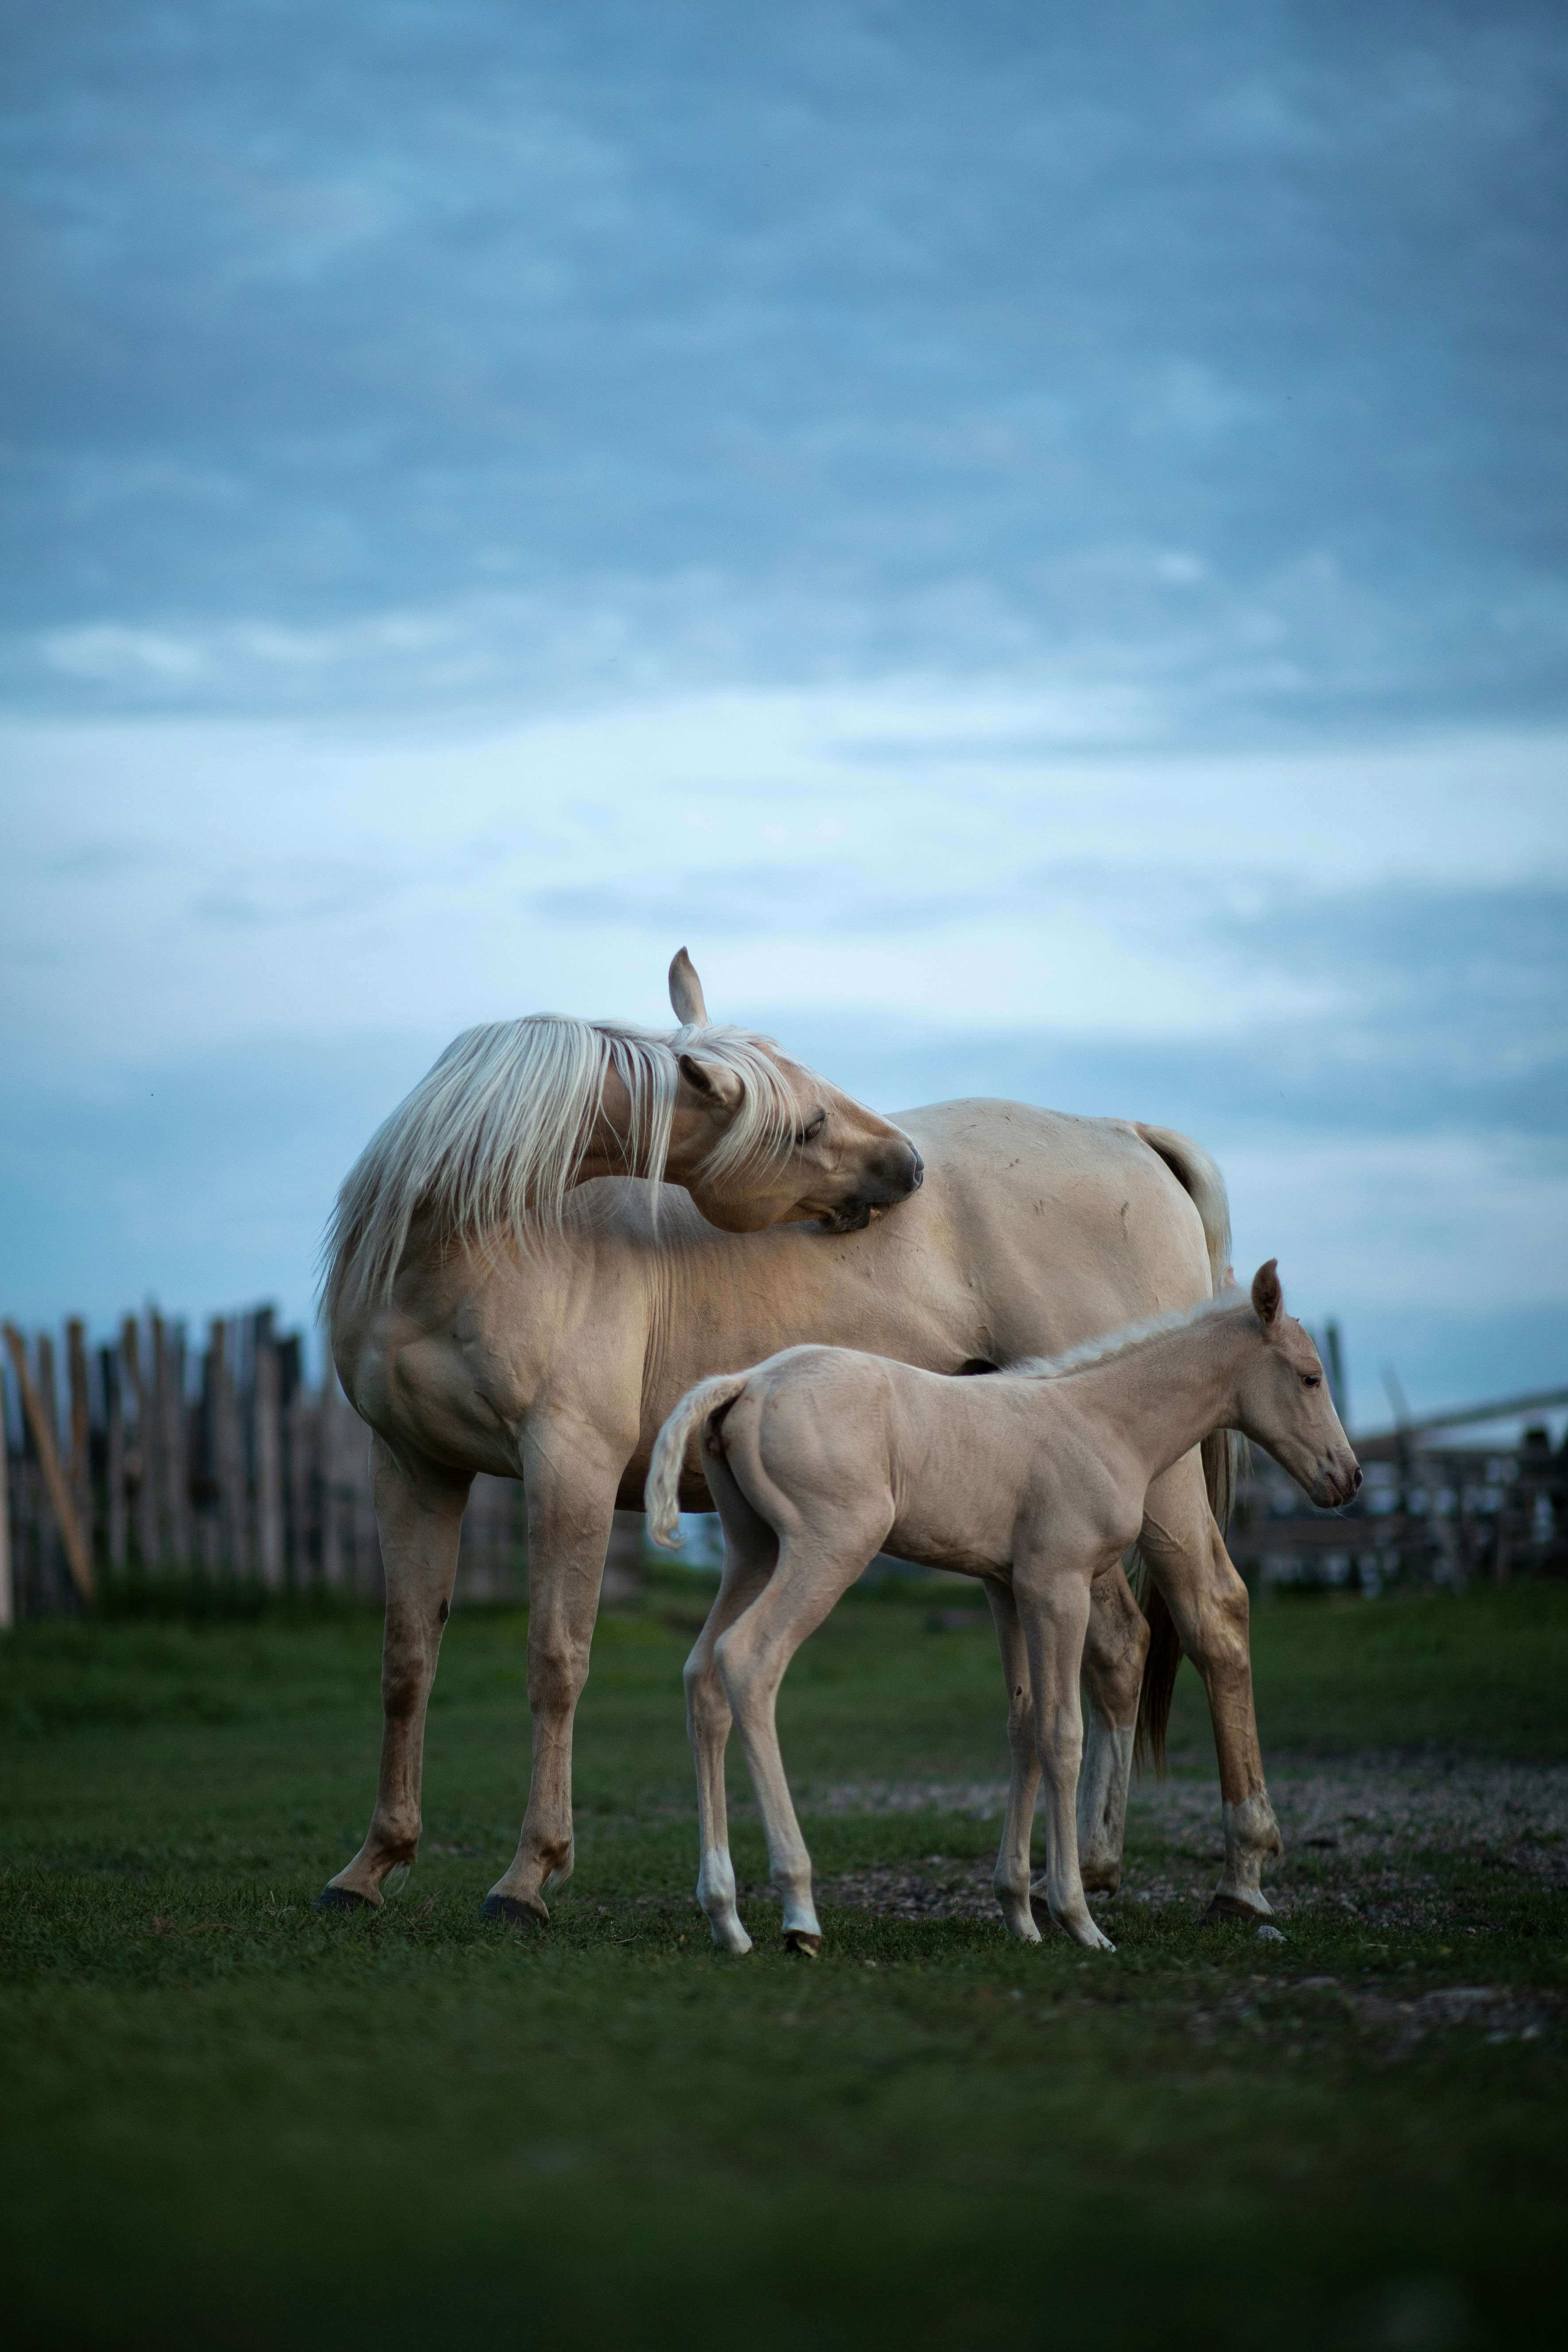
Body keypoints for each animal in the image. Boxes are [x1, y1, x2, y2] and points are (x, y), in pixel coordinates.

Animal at [317, 952, 1280, 1930]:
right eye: (808, 1121)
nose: (909, 1167)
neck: (467, 1239)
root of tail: (1128, 1133)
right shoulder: (414, 1469)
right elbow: (407, 1661)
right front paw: (372, 1864)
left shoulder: (568, 1466)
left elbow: (556, 1660)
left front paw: (527, 1877)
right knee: (1120, 1643)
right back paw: (1087, 1869)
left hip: (1154, 1478)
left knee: (1214, 1617)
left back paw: (1240, 1876)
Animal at [647, 1262, 1360, 1956]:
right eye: (1310, 1375)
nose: (1347, 1478)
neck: (1102, 1421)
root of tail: (744, 1381)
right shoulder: (1058, 1585)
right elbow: (1062, 1732)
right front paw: (1077, 1918)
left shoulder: (1006, 1589)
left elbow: (1024, 1726)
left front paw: (1019, 1911)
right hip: (827, 1547)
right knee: (749, 1659)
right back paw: (799, 1912)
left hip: (754, 1550)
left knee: (700, 1677)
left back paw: (726, 1917)